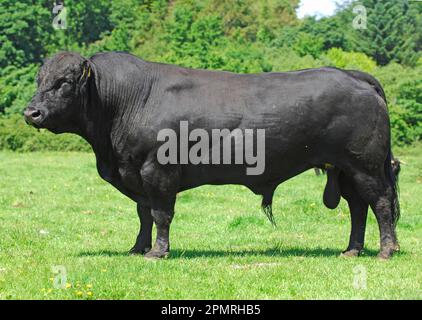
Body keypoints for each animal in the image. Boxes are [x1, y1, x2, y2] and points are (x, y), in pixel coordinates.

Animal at [24, 51, 400, 258]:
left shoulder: (157, 172)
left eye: (64, 82)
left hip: (365, 166)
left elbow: (160, 215)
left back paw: (386, 250)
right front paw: (137, 247)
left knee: (380, 203)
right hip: (345, 169)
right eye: (41, 79)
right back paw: (351, 250)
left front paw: (157, 252)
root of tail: (351, 74)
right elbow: (143, 214)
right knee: (357, 207)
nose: (31, 113)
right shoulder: (136, 175)